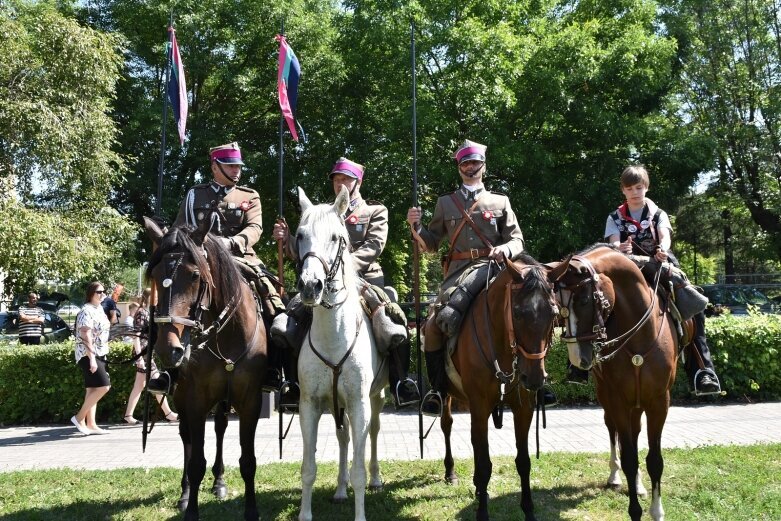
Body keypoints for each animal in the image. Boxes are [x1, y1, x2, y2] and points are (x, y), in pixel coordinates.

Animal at [144, 217, 268, 516]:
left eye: (194, 275)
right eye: (156, 275)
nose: (168, 349)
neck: (227, 336)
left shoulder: (250, 400)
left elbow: (248, 460)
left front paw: (251, 510)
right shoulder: (195, 399)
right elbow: (196, 461)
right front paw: (191, 508)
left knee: (220, 427)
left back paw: (219, 482)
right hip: (181, 395)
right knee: (186, 437)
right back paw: (185, 492)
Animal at [296, 185, 386, 516]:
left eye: (337, 237)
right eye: (299, 235)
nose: (311, 286)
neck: (333, 339)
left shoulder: (360, 402)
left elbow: (359, 467)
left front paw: (360, 513)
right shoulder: (309, 405)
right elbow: (308, 468)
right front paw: (305, 515)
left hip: (375, 398)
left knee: (372, 432)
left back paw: (375, 479)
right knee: (343, 436)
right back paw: (339, 489)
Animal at [430, 255, 564, 520]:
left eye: (553, 313)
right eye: (518, 314)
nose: (534, 378)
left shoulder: (524, 408)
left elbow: (523, 461)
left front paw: (529, 510)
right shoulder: (480, 406)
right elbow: (484, 465)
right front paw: (482, 512)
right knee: (447, 425)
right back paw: (451, 472)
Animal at [556, 245, 676, 520]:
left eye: (584, 300)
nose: (577, 358)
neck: (641, 337)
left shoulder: (659, 402)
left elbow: (654, 460)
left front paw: (656, 510)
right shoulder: (618, 400)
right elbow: (629, 457)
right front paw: (635, 511)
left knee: (634, 432)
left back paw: (639, 486)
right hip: (607, 396)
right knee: (614, 431)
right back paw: (614, 476)